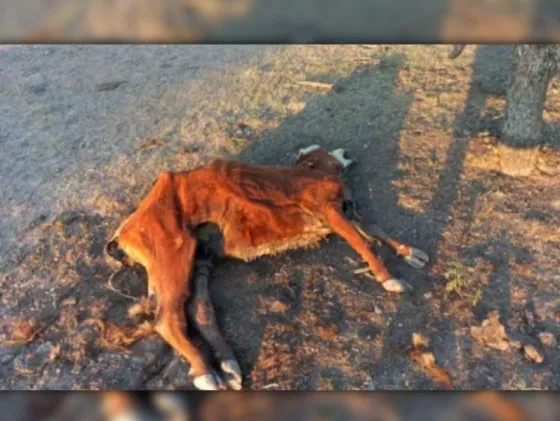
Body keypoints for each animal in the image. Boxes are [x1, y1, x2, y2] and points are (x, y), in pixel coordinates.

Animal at [104, 145, 428, 390]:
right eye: (322, 152)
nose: (345, 151)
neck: (315, 174)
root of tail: (127, 227)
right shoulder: (329, 211)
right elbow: (364, 243)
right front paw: (388, 278)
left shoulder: (345, 212)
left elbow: (375, 230)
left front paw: (409, 252)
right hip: (173, 256)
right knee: (167, 319)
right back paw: (205, 373)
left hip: (201, 258)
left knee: (199, 309)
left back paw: (228, 365)